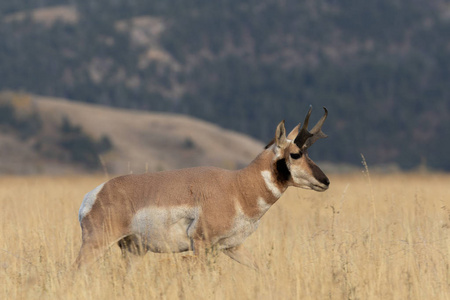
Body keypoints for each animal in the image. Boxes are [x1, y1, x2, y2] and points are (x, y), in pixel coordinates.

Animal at [76, 107, 330, 270]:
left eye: (308, 153)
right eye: (295, 154)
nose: (326, 181)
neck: (237, 187)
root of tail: (94, 194)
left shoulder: (232, 246)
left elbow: (262, 268)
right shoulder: (201, 245)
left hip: (133, 251)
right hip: (96, 244)